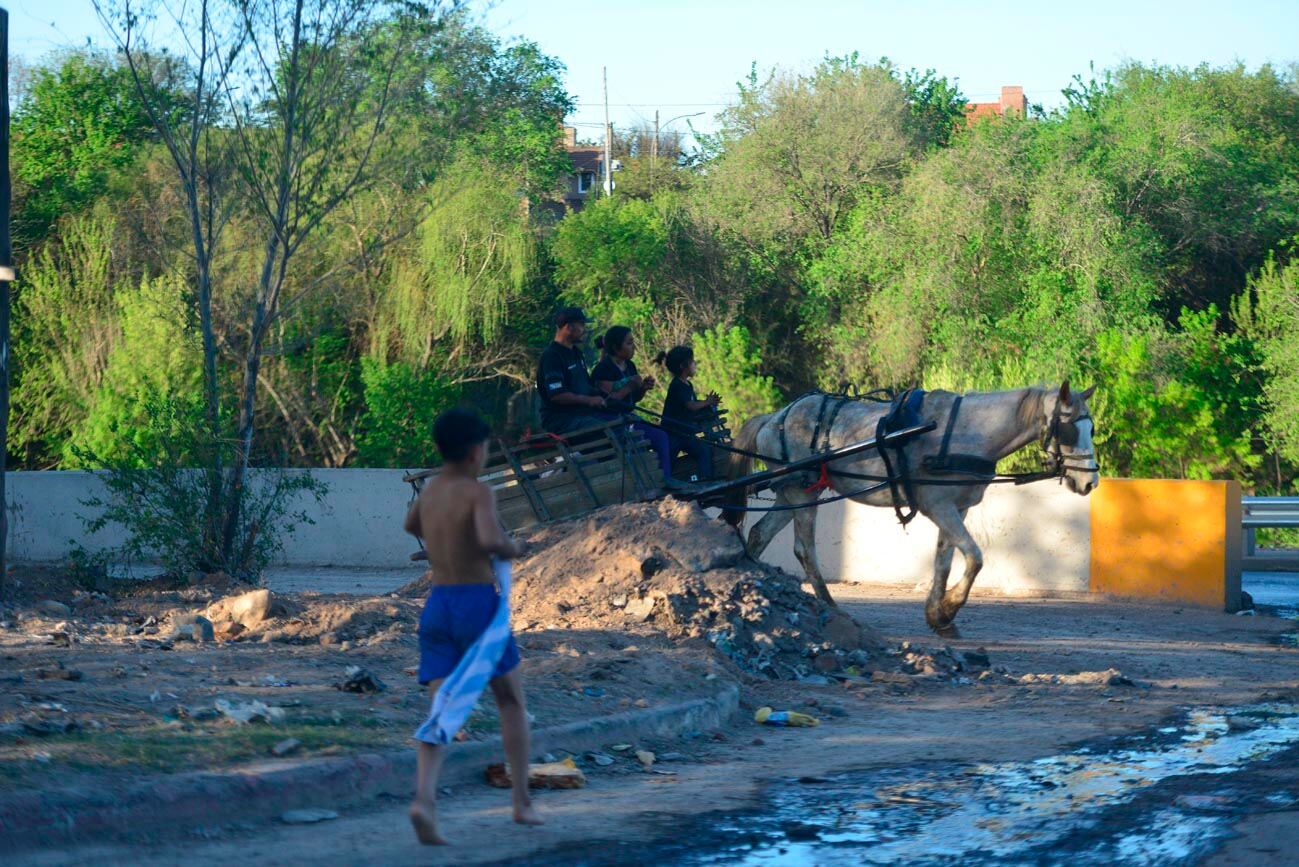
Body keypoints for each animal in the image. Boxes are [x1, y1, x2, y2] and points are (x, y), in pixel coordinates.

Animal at [722, 382, 1096, 634]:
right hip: (801, 492)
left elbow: (944, 560)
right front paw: (949, 608)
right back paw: (829, 606)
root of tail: (775, 416)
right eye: (1067, 428)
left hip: (791, 492)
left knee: (759, 533)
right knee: (804, 548)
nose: (1090, 481)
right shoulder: (938, 505)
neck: (964, 433)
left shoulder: (956, 508)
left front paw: (937, 615)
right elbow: (975, 557)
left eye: (1091, 427)